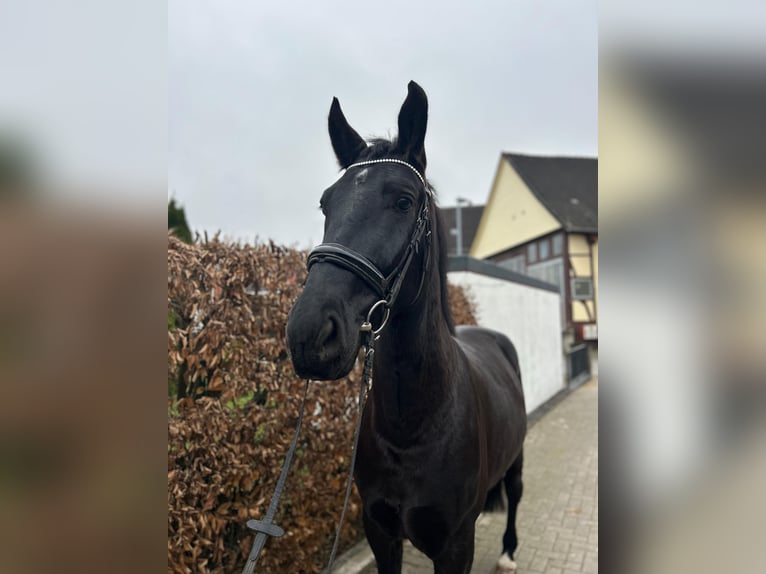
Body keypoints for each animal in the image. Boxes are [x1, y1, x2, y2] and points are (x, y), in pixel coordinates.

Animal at [286, 81, 526, 574]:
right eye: (325, 203)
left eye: (402, 201)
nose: (309, 334)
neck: (413, 424)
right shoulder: (381, 532)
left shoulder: (455, 545)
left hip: (516, 460)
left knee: (514, 493)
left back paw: (509, 552)